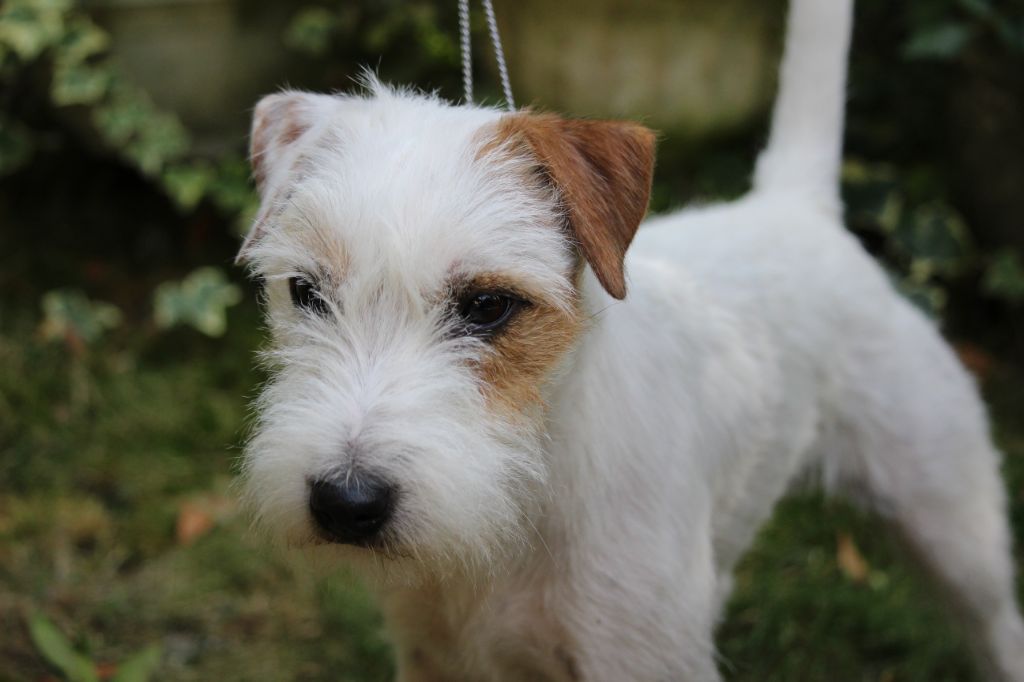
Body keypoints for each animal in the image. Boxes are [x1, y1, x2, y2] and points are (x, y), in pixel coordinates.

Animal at [236, 0, 1024, 679]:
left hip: (957, 528)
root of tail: (795, 208)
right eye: (305, 292)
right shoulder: (433, 655)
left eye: (488, 306)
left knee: (996, 623)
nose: (345, 502)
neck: (529, 498)